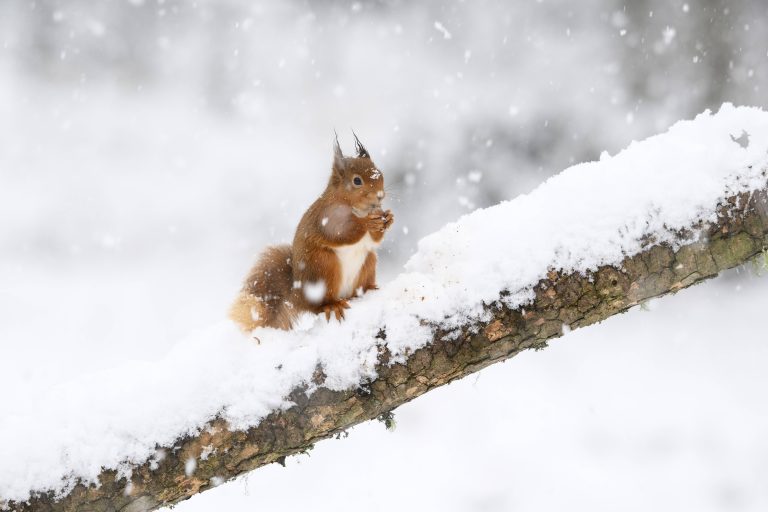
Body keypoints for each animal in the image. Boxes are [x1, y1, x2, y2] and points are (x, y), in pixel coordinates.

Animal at [230, 133, 392, 332]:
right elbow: (340, 234)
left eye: (380, 173)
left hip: (368, 261)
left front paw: (388, 218)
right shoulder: (326, 218)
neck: (352, 207)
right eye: (357, 181)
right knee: (318, 306)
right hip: (324, 265)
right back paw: (332, 305)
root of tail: (299, 296)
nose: (380, 196)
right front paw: (366, 223)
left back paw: (368, 290)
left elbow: (374, 241)